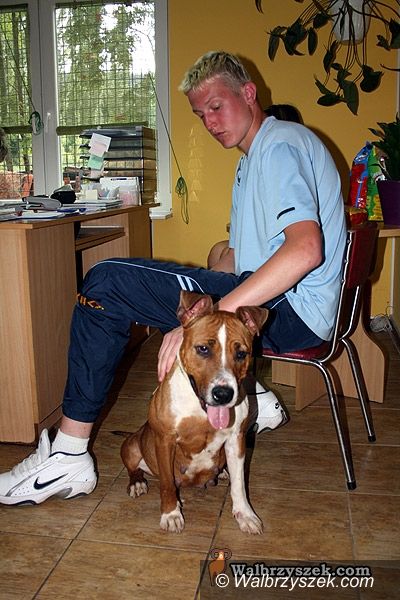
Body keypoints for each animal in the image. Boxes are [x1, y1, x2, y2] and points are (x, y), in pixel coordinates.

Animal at [121, 290, 268, 534]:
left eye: (241, 353)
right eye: (203, 349)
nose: (223, 394)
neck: (200, 410)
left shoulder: (236, 439)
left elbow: (239, 484)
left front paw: (245, 515)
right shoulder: (165, 440)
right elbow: (167, 484)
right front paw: (171, 514)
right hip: (132, 446)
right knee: (134, 468)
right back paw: (138, 483)